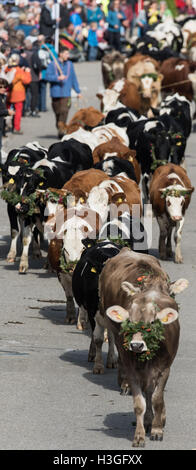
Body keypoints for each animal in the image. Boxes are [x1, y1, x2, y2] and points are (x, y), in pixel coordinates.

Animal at [95, 248, 188, 446]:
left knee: (151, 391)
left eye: (153, 322)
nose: (137, 344)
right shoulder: (133, 369)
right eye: (130, 322)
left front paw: (157, 428)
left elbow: (157, 398)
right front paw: (140, 434)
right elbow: (140, 403)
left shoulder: (164, 368)